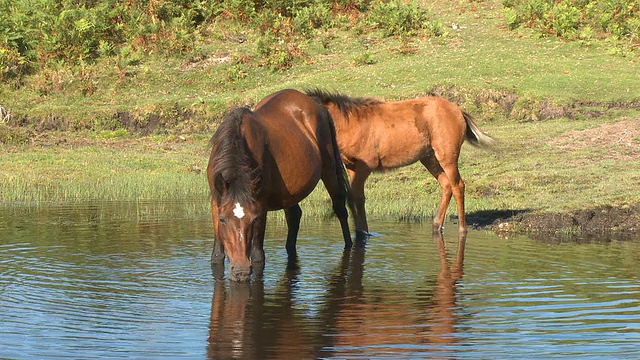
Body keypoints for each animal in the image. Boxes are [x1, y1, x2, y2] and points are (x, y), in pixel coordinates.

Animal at [208, 88, 352, 282]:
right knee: (294, 216)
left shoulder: (260, 206)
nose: (241, 271)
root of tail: (313, 102)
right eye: (223, 219)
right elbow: (217, 256)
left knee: (340, 209)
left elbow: (258, 256)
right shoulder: (216, 203)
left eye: (253, 219)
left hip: (329, 171)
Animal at [304, 89, 496, 235]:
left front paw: (363, 233)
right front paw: (362, 232)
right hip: (429, 157)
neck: (349, 123)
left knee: (458, 185)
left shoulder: (365, 166)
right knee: (446, 184)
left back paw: (462, 229)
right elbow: (356, 199)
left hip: (447, 155)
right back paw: (436, 225)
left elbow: (356, 198)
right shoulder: (352, 167)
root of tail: (458, 111)